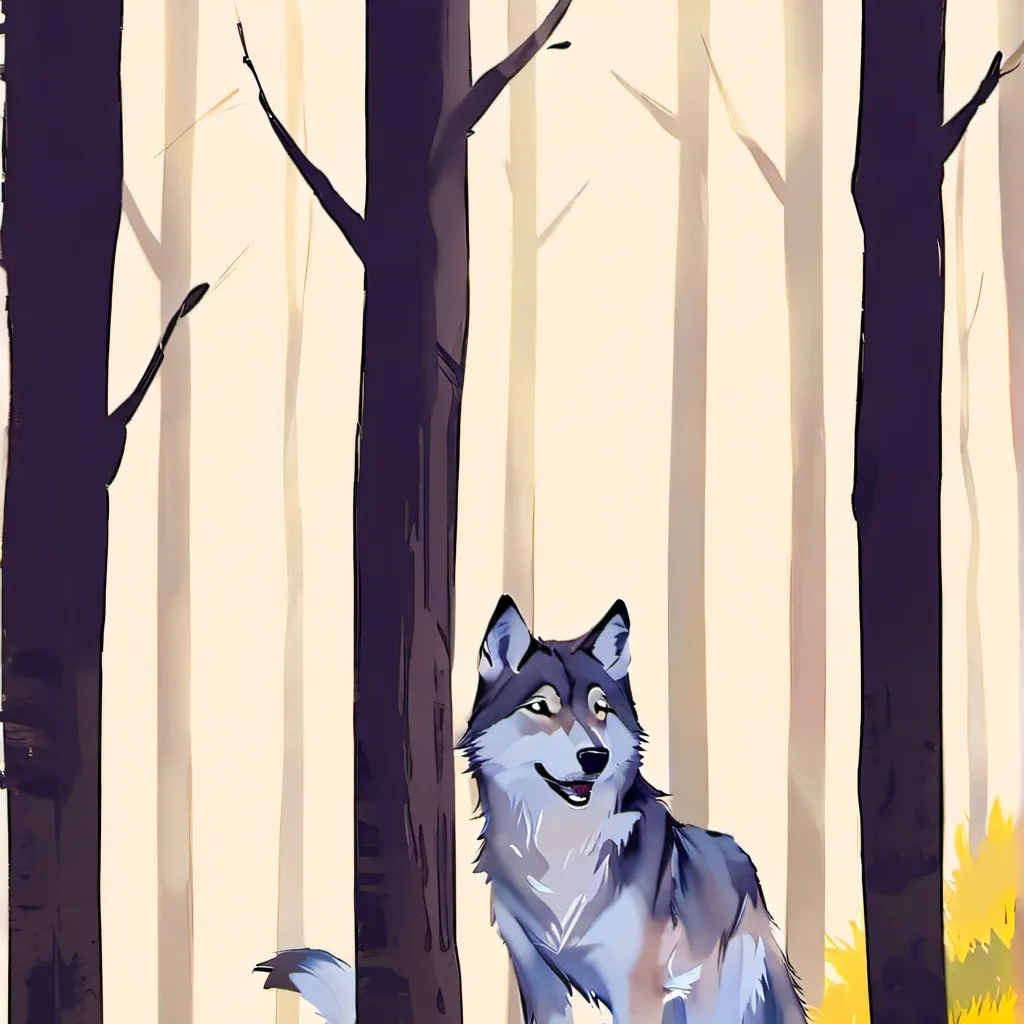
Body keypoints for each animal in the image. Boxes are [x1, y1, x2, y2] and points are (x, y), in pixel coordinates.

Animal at [254, 595, 807, 1024]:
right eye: (541, 707)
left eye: (601, 709)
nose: (594, 757)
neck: (561, 846)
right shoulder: (537, 978)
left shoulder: (638, 991)